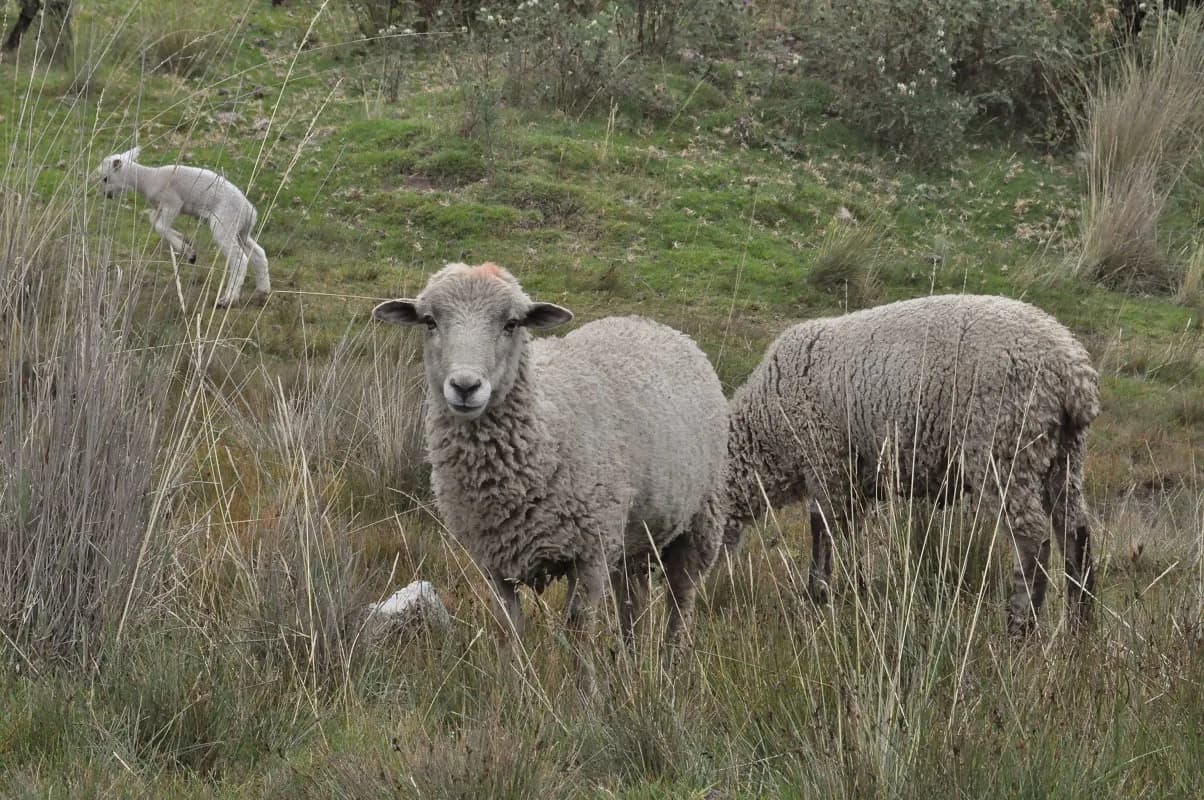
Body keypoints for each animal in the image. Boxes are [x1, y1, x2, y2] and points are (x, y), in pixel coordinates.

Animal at [94, 147, 270, 308]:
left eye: (105, 178)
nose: (106, 195)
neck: (148, 179)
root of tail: (250, 212)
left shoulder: (173, 203)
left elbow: (160, 226)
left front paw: (188, 252)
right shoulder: (160, 207)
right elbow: (154, 220)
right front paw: (185, 241)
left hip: (225, 222)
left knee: (240, 259)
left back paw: (228, 299)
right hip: (240, 231)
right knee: (258, 254)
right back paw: (263, 291)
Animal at [373, 262, 728, 685]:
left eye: (511, 323)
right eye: (430, 321)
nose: (465, 386)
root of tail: (651, 323)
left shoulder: (589, 552)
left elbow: (579, 632)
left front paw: (586, 695)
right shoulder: (493, 560)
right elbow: (507, 630)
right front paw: (511, 689)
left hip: (701, 520)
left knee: (681, 599)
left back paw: (672, 671)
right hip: (633, 533)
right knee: (632, 602)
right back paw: (630, 666)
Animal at [724, 294, 1100, 636]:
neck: (765, 430)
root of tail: (1072, 372)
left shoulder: (826, 461)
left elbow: (823, 531)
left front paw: (817, 594)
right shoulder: (852, 479)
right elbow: (849, 536)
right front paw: (855, 590)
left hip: (1005, 446)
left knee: (1033, 539)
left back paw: (1021, 628)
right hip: (1063, 454)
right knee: (1075, 531)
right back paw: (1079, 627)